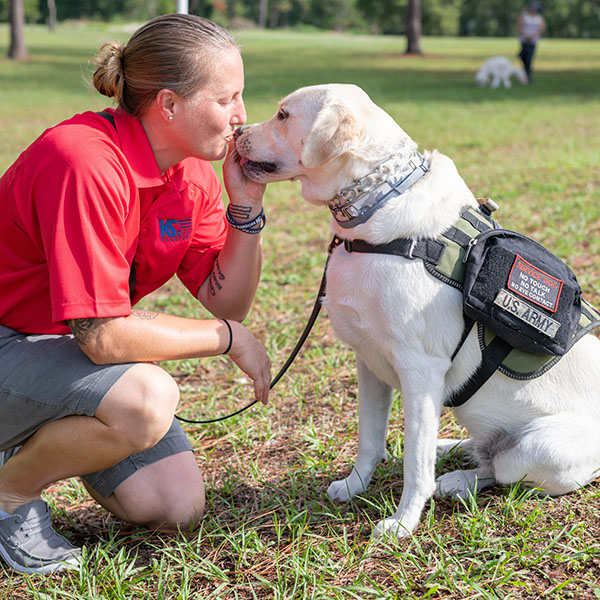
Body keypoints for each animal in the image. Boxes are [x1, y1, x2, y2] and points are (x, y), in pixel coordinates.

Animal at [233, 84, 600, 540]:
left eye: (283, 115)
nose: (236, 131)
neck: (374, 201)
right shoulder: (367, 362)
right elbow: (370, 438)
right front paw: (355, 485)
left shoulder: (421, 372)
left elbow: (415, 462)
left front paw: (403, 521)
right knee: (481, 451)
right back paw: (451, 449)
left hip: (538, 447)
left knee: (499, 469)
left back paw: (458, 479)